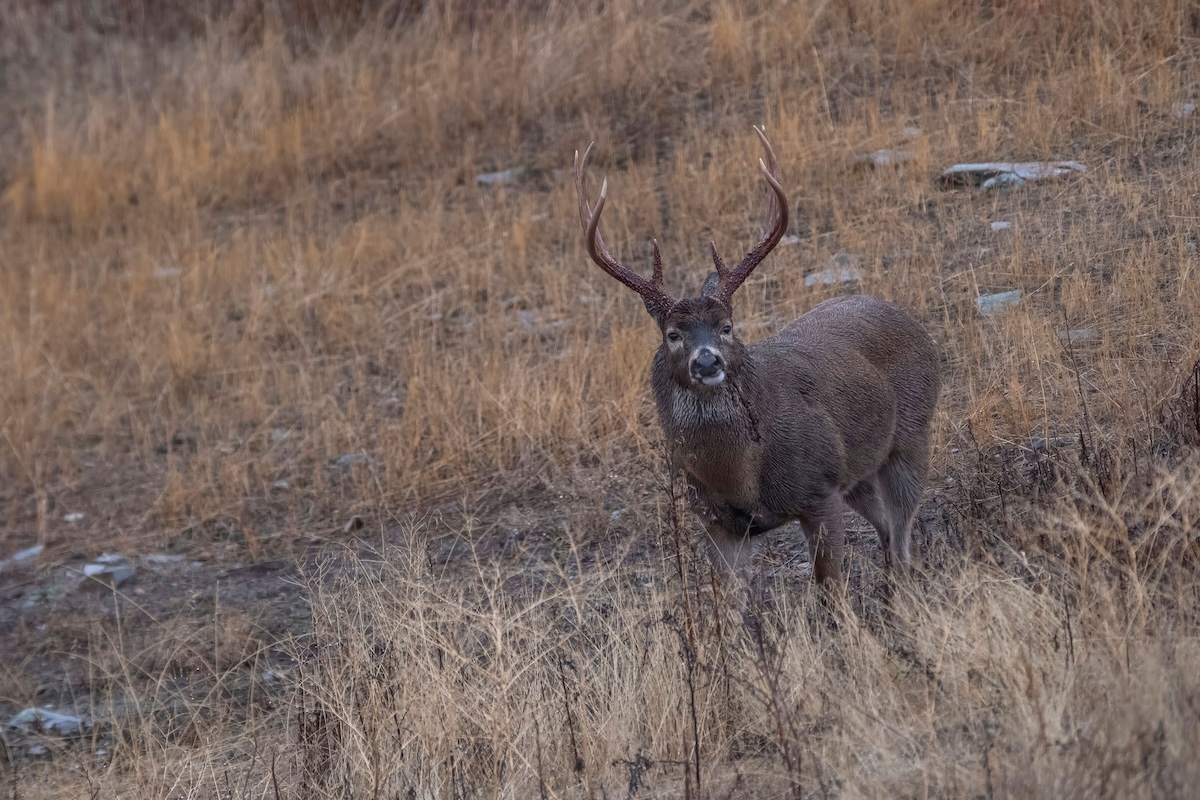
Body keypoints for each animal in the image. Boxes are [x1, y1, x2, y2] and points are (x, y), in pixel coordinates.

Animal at [573, 128, 940, 590]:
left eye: (727, 327)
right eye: (673, 334)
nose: (707, 362)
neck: (741, 478)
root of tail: (908, 318)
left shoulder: (819, 489)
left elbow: (830, 590)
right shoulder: (718, 522)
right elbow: (733, 606)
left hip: (912, 434)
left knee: (903, 533)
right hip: (857, 473)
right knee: (888, 531)